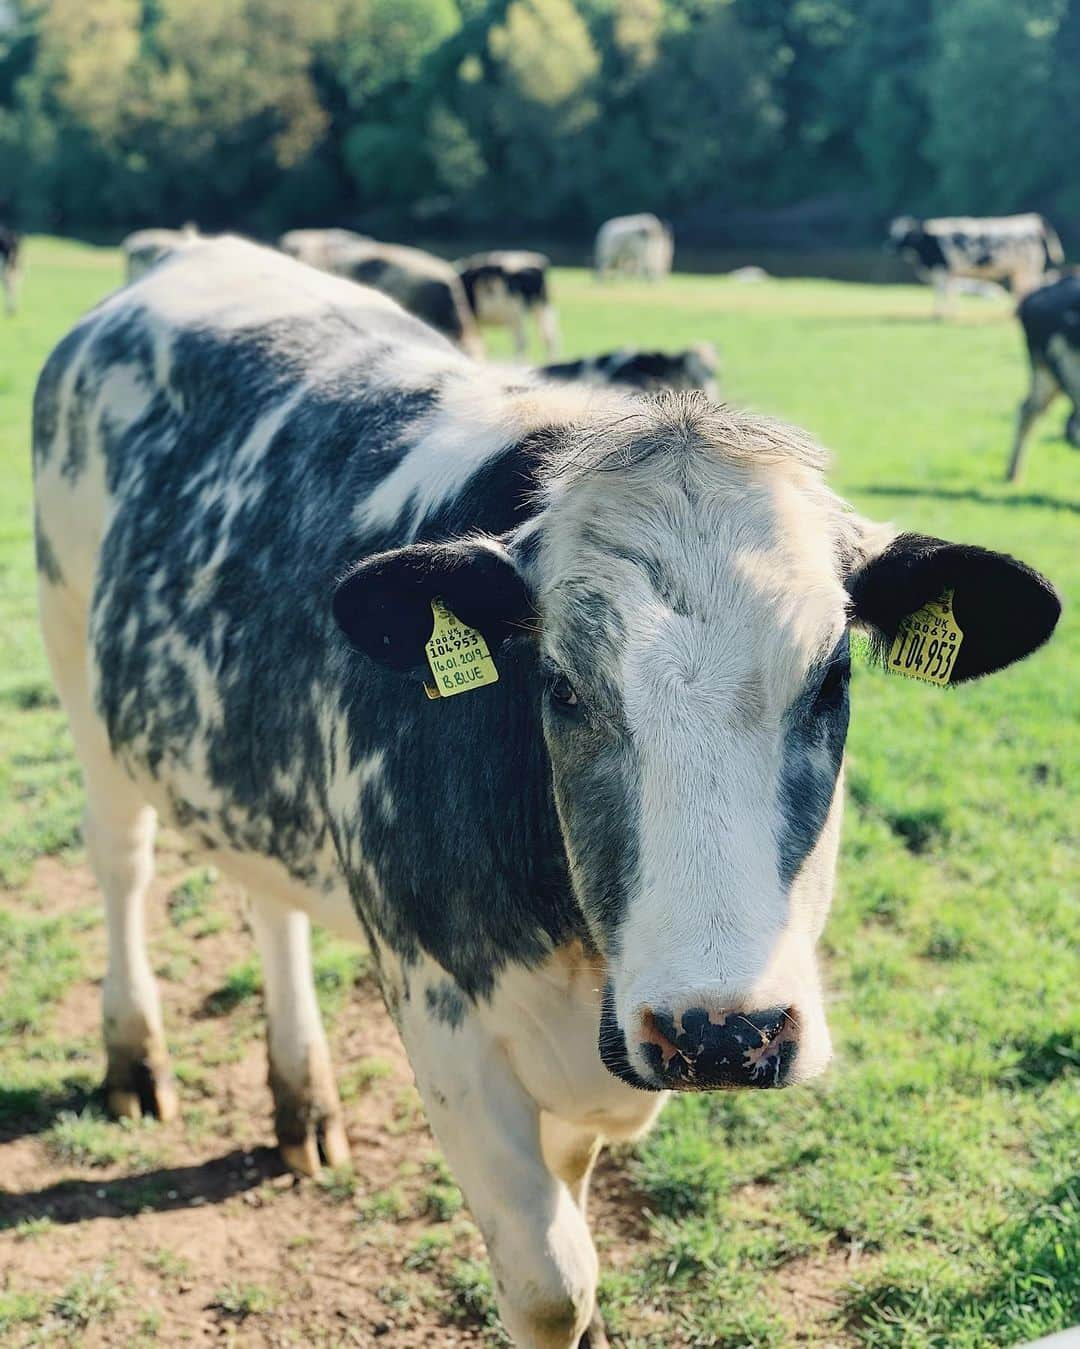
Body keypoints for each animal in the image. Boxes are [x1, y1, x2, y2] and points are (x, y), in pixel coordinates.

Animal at [884, 213, 1062, 318]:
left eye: (906, 234)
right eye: (892, 232)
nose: (889, 249)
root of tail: (1032, 220)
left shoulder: (942, 270)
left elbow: (941, 292)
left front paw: (940, 314)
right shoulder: (951, 273)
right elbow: (949, 292)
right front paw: (949, 313)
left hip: (1029, 267)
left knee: (1030, 288)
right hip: (1020, 270)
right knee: (1022, 289)